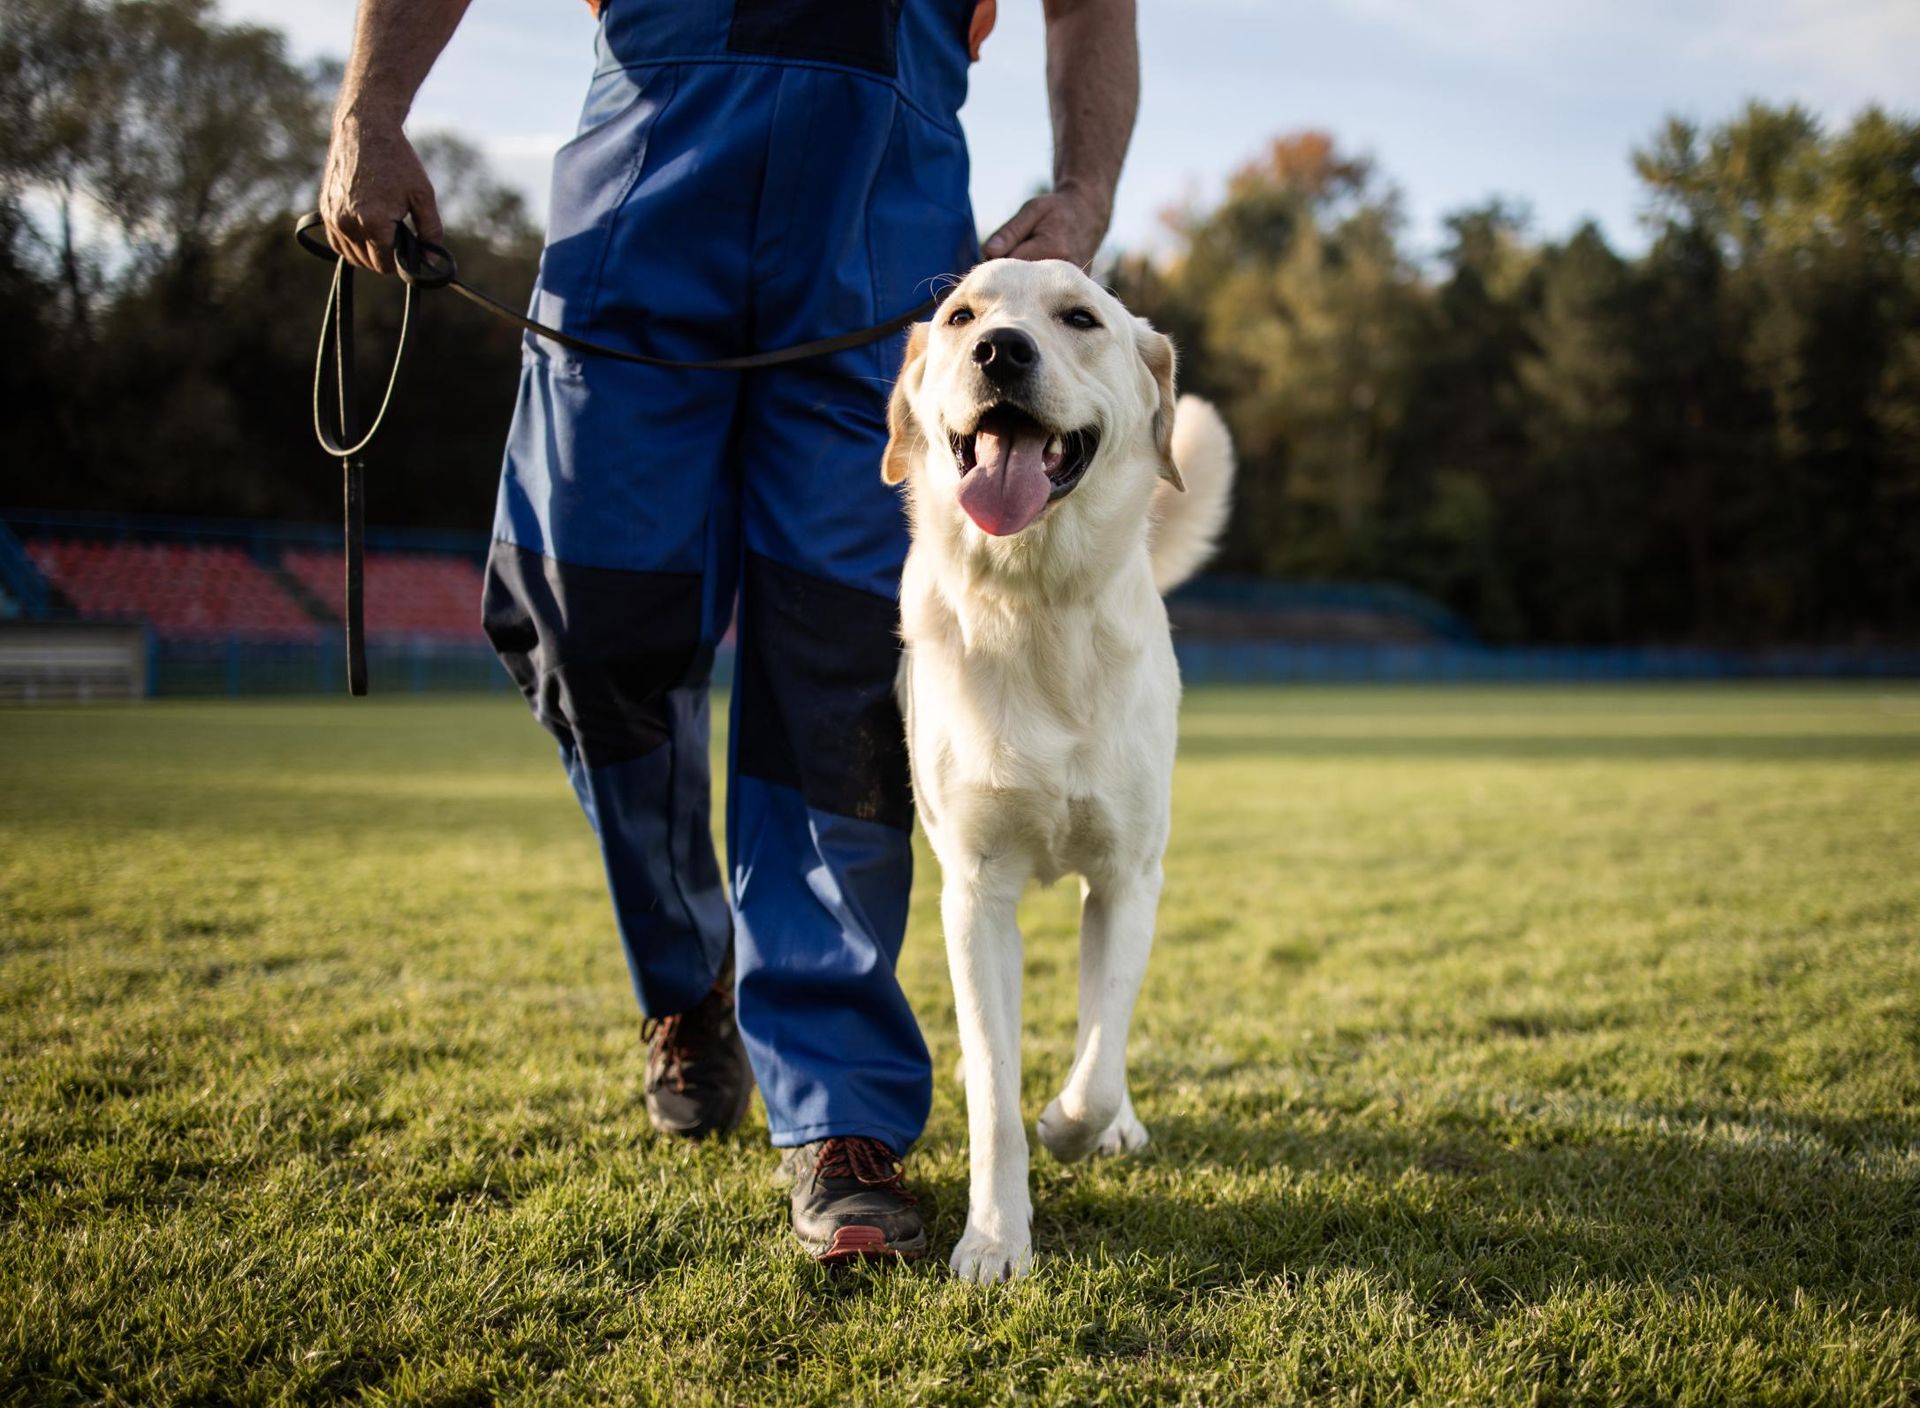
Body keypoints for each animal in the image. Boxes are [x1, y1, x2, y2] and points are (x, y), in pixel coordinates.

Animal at [879, 257, 1236, 1283]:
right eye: (961, 317)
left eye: (1080, 319)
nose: (1001, 350)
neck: (1034, 601)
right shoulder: (974, 891)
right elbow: (995, 1098)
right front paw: (997, 1239)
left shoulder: (1128, 878)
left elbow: (1098, 1053)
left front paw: (1078, 1126)